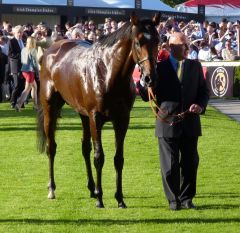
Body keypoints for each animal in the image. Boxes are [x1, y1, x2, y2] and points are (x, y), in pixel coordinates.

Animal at [37, 12, 160, 208]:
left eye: (157, 40)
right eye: (138, 41)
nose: (150, 78)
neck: (107, 73)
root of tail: (52, 49)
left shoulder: (122, 120)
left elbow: (118, 158)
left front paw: (119, 198)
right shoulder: (96, 118)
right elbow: (99, 157)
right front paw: (100, 199)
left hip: (83, 115)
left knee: (84, 147)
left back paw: (91, 188)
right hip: (51, 109)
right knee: (52, 147)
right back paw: (52, 189)